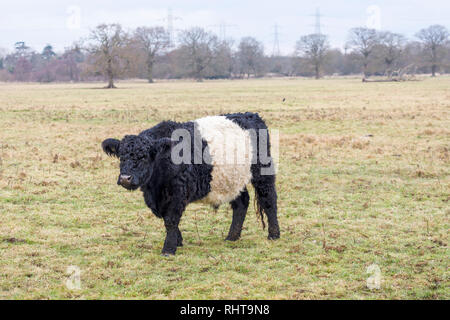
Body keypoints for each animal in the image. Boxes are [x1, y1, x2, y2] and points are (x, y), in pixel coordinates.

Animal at [101, 112, 282, 255]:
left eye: (144, 157)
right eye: (121, 157)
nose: (125, 178)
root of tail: (251, 115)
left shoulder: (178, 192)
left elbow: (171, 219)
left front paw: (169, 249)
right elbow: (166, 218)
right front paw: (178, 241)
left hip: (262, 172)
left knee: (269, 199)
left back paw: (274, 235)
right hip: (232, 179)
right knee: (241, 203)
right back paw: (232, 237)